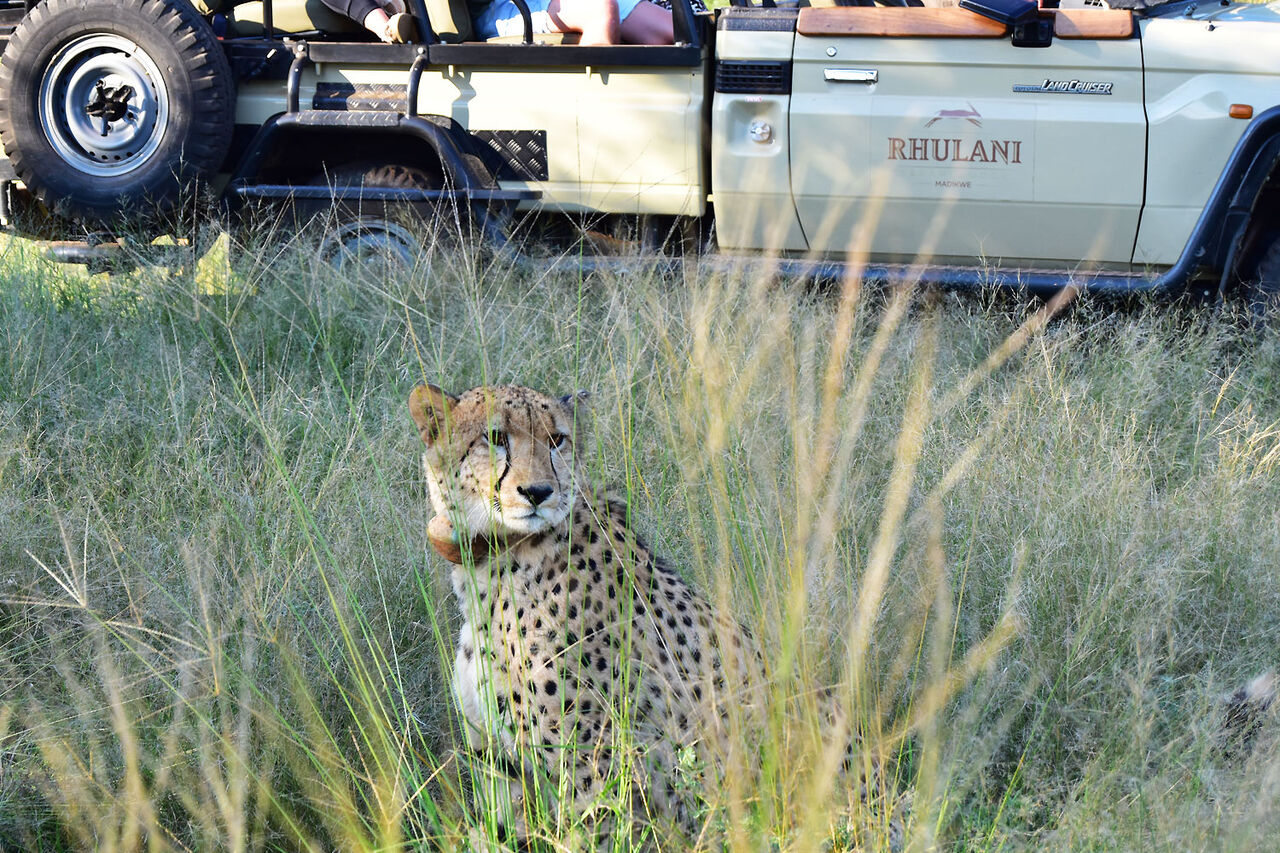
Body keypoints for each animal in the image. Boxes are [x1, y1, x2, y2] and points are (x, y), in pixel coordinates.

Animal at [408, 382, 899, 845]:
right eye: (495, 438)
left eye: (556, 440)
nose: (537, 492)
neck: (494, 557)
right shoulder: (501, 762)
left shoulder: (594, 768)